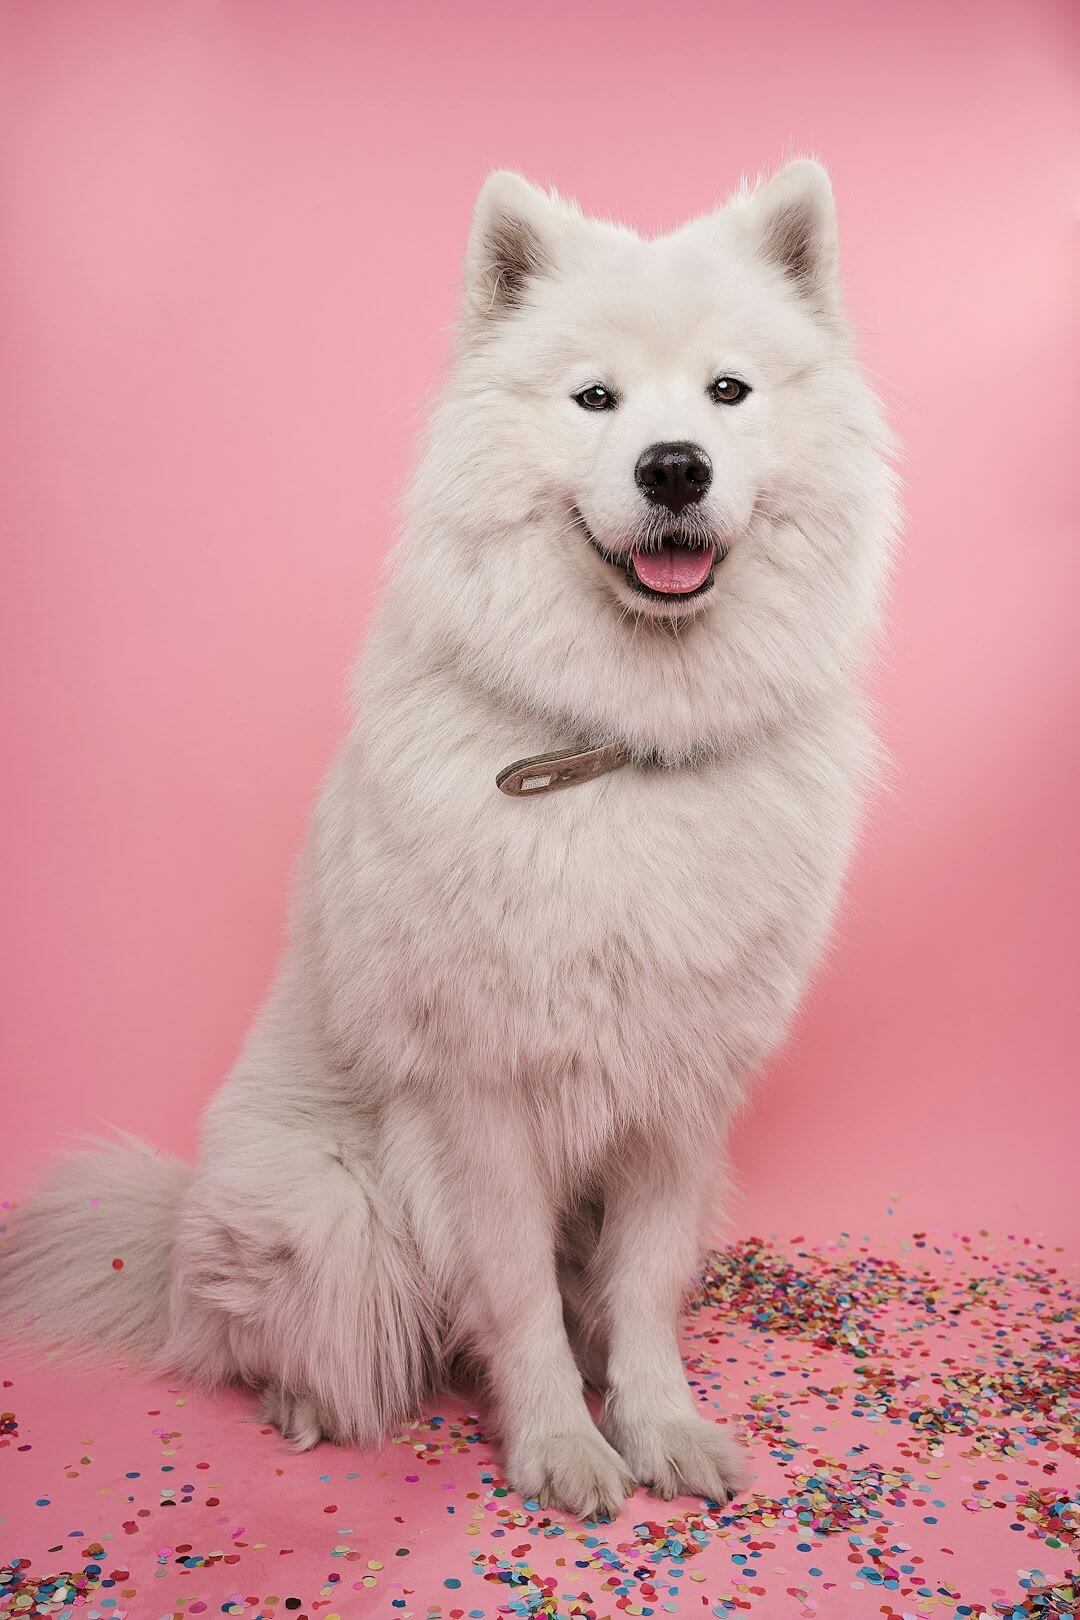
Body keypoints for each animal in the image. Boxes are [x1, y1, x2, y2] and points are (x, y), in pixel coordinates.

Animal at [0, 161, 893, 1516]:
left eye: (729, 392)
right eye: (594, 398)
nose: (674, 467)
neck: (619, 744)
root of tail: (175, 1223)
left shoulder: (679, 1102)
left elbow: (638, 1294)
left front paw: (660, 1425)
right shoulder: (481, 1100)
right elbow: (516, 1297)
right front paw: (562, 1446)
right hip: (333, 1213)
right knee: (252, 1335)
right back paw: (300, 1404)